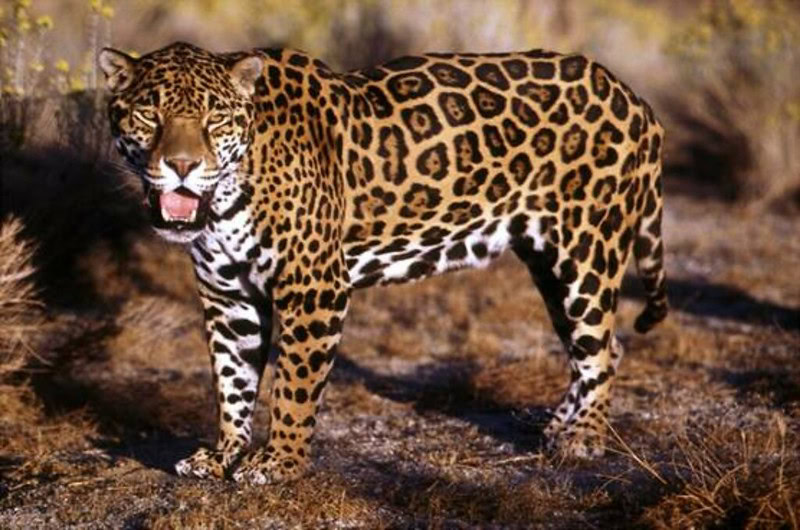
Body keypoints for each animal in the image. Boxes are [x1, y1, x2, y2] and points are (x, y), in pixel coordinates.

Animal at [98, 41, 668, 485]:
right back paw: (559, 426)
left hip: (586, 251)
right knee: (602, 346)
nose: (183, 166)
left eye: (214, 117)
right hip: (548, 263)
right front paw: (223, 455)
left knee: (599, 348)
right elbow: (232, 380)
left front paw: (279, 462)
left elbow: (293, 387)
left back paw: (582, 438)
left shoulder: (314, 288)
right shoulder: (227, 293)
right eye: (149, 115)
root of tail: (634, 97)